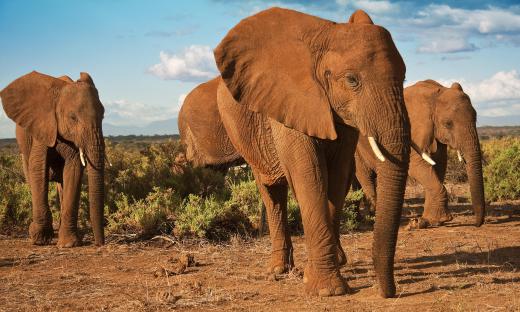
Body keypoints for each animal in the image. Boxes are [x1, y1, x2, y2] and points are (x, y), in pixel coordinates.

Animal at [0, 72, 106, 247]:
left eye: (103, 115)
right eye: (73, 117)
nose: (100, 243)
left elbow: (74, 170)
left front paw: (69, 244)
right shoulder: (42, 126)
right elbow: (38, 168)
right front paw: (39, 238)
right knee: (30, 176)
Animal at [181, 7, 412, 300]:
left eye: (404, 78)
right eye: (352, 80)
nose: (389, 292)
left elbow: (338, 178)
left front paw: (325, 271)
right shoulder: (289, 103)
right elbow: (309, 175)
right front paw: (327, 290)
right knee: (271, 190)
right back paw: (279, 270)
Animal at [356, 79, 486, 227]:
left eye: (475, 118)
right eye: (448, 124)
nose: (477, 224)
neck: (434, 94)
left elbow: (439, 164)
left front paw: (428, 221)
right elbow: (416, 165)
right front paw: (428, 221)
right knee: (365, 175)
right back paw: (372, 217)